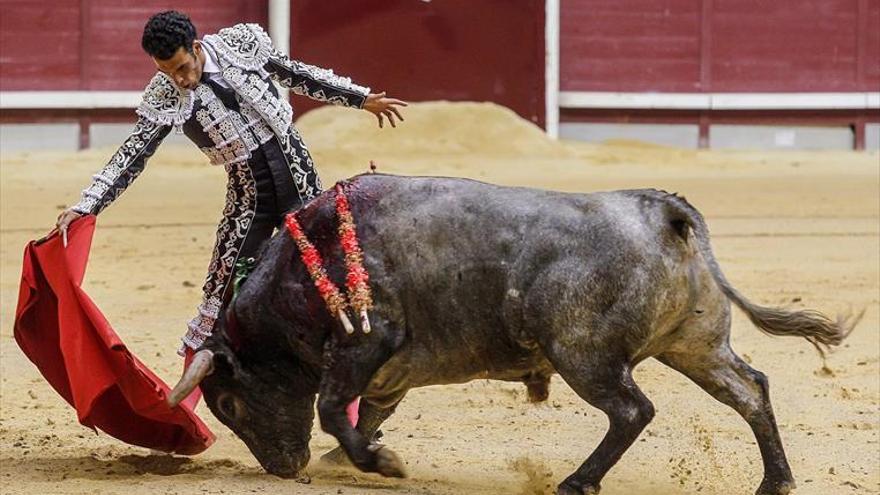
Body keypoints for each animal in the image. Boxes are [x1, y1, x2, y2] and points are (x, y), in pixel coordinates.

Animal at [168, 174, 856, 495]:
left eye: (227, 401)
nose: (285, 467)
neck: (304, 266)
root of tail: (661, 211)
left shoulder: (365, 344)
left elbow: (336, 409)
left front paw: (380, 462)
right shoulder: (391, 367)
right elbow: (371, 410)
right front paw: (356, 456)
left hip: (584, 355)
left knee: (633, 410)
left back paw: (578, 480)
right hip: (697, 346)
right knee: (750, 390)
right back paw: (776, 480)